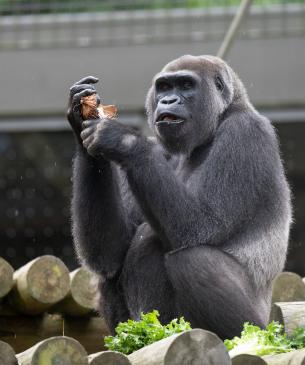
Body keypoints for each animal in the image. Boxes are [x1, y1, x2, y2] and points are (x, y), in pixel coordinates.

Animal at [66, 54, 290, 338]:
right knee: (110, 272)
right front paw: (79, 115)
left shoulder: (245, 132)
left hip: (263, 322)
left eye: (185, 85)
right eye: (164, 87)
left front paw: (122, 140)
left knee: (189, 258)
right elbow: (109, 253)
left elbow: (201, 224)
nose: (168, 101)